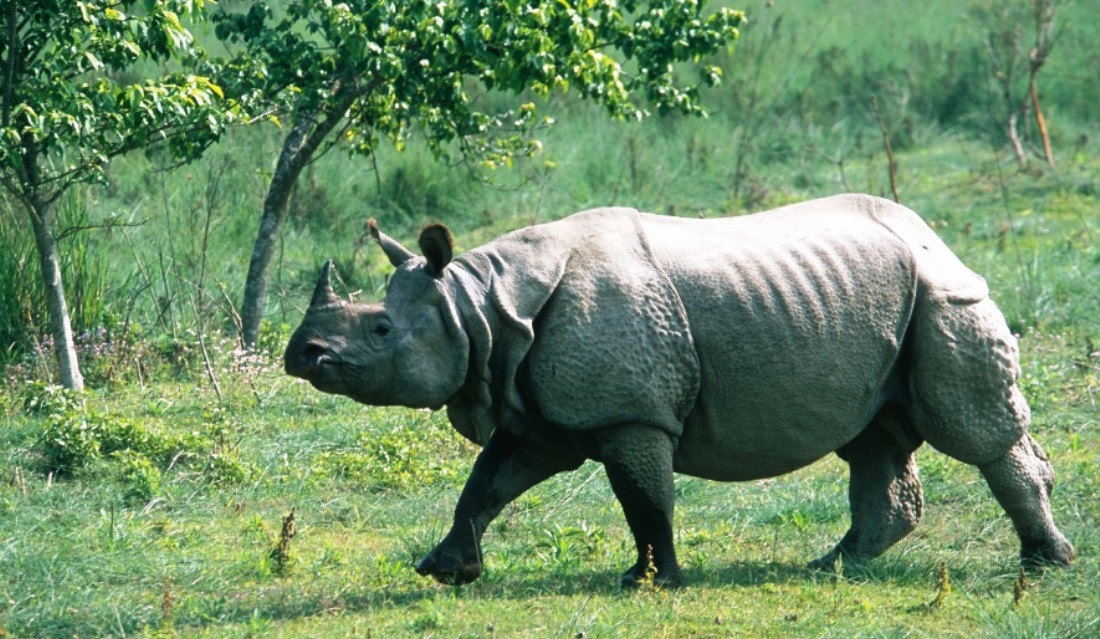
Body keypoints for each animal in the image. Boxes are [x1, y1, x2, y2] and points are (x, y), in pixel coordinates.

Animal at [283, 194, 1073, 589]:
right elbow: (488, 482)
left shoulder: (631, 412)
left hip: (943, 292)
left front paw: (651, 581)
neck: (480, 305)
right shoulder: (538, 408)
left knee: (973, 433)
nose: (301, 354)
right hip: (880, 298)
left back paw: (1045, 563)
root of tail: (934, 232)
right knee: (871, 435)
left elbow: (644, 497)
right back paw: (832, 567)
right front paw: (447, 571)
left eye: (381, 328)